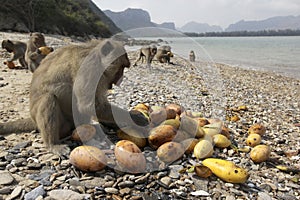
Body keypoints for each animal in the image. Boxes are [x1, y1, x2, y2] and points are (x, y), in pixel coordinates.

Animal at [0, 38, 149, 155]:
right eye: (121, 67)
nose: (121, 79)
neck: (96, 56)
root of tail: (32, 118)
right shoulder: (91, 68)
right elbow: (88, 106)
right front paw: (136, 118)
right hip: (57, 123)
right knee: (48, 98)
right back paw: (53, 144)